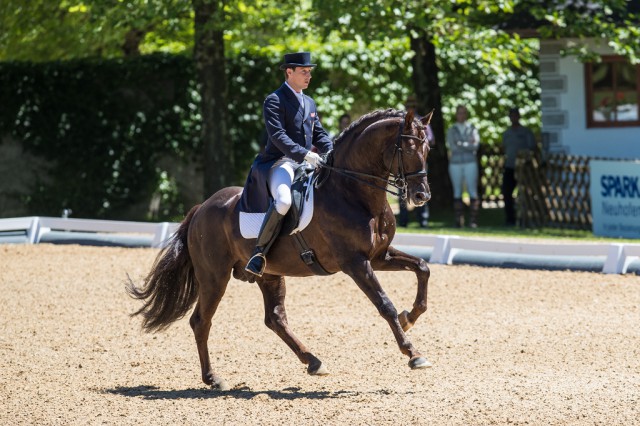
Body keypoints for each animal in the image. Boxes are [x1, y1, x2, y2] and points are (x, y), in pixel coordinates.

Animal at [125, 109, 436, 390]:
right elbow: (384, 304)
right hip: (214, 277)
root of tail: (202, 207)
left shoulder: (379, 256)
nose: (421, 196)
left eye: (428, 148)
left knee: (274, 318)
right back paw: (213, 379)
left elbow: (422, 268)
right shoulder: (355, 263)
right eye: (408, 148)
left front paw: (410, 317)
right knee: (201, 321)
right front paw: (413, 354)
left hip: (269, 274)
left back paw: (313, 362)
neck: (352, 193)